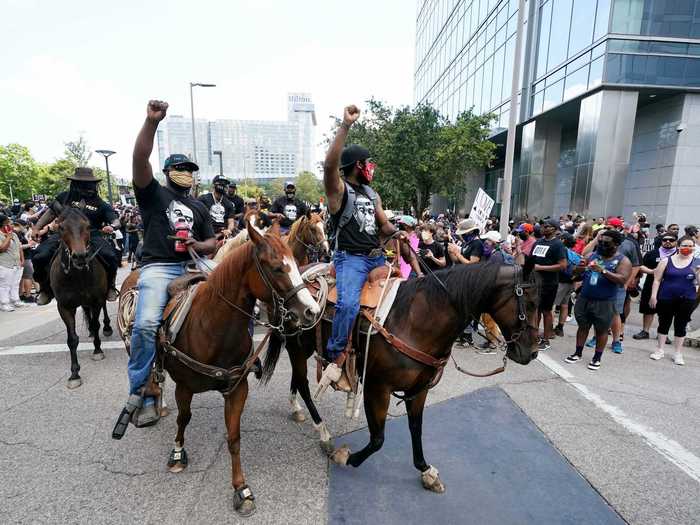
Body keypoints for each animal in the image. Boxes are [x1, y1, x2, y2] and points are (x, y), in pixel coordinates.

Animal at [50, 205, 109, 388]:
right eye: (61, 227)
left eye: (88, 226)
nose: (80, 256)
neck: (77, 276)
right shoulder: (64, 307)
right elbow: (72, 339)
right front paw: (74, 374)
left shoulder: (96, 300)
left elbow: (96, 324)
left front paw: (97, 350)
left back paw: (106, 327)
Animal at [266, 260, 540, 490]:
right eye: (531, 303)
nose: (532, 352)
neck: (415, 322)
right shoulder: (377, 388)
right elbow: (378, 439)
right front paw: (346, 457)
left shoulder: (418, 390)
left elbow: (416, 428)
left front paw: (426, 471)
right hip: (297, 346)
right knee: (303, 383)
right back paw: (322, 432)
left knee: (297, 379)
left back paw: (296, 409)